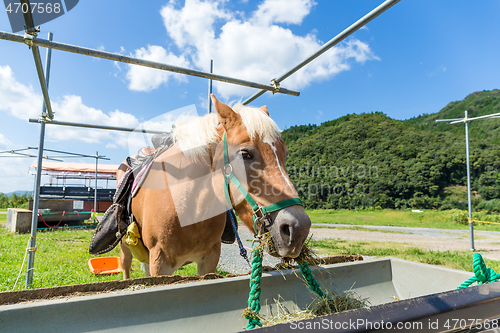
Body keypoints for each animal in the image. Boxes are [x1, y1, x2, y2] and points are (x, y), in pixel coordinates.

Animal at [117, 93, 310, 278]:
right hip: (126, 248)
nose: (298, 230)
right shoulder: (160, 262)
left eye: (285, 154)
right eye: (245, 154)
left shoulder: (209, 260)